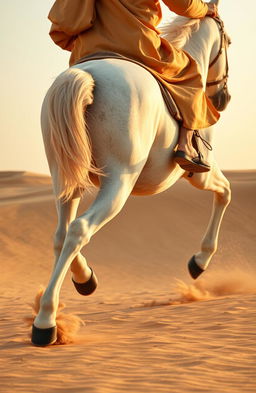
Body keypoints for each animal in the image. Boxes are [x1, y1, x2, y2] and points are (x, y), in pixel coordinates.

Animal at [32, 10, 232, 344]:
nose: (223, 98)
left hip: (64, 177)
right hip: (119, 182)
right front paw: (199, 261)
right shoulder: (199, 174)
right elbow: (225, 192)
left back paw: (84, 280)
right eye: (228, 41)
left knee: (61, 234)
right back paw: (45, 321)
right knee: (79, 229)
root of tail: (86, 75)